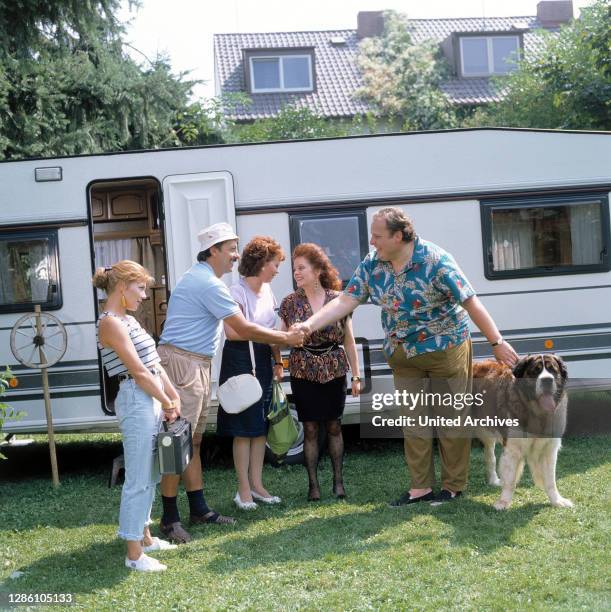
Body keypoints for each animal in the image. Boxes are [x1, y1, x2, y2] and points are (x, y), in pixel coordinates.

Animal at [474, 354, 572, 512]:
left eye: (552, 370)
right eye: (535, 371)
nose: (547, 380)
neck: (537, 413)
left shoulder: (549, 449)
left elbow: (551, 480)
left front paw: (557, 501)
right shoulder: (512, 449)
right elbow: (510, 480)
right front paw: (503, 502)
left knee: (489, 455)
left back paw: (493, 480)